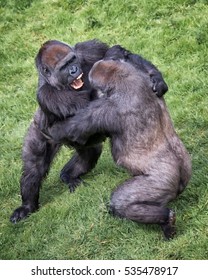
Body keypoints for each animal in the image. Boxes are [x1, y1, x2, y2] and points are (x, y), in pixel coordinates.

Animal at [10, 40, 168, 223]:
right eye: (63, 67)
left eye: (72, 61)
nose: (74, 70)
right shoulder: (47, 94)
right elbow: (88, 106)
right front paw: (114, 55)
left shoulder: (87, 49)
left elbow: (118, 57)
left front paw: (156, 79)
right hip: (40, 130)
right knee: (34, 166)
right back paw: (28, 205)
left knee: (89, 153)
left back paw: (68, 175)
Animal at [48, 47, 192, 240]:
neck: (125, 79)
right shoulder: (137, 73)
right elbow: (122, 55)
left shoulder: (102, 109)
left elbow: (72, 133)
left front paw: (49, 129)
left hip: (163, 182)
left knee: (122, 202)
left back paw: (166, 219)